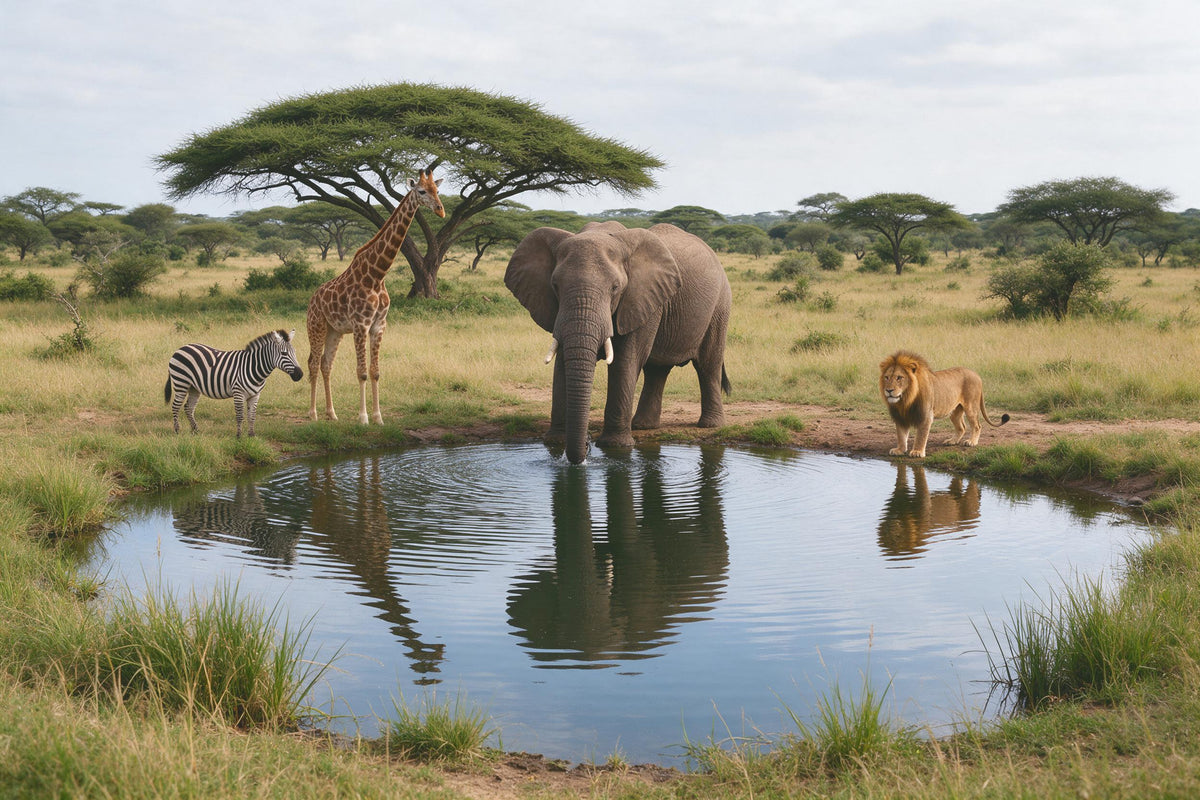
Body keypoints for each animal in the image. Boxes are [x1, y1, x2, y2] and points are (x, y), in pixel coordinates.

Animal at [165, 329, 304, 437]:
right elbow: (240, 415)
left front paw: (251, 436)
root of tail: (181, 348)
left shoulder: (255, 395)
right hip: (181, 383)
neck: (253, 367)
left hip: (194, 387)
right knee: (176, 406)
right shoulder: (238, 393)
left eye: (295, 352)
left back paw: (196, 430)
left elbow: (252, 416)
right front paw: (239, 436)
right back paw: (177, 430)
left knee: (188, 407)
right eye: (284, 353)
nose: (300, 374)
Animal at [505, 221, 732, 464]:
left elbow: (625, 360)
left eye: (615, 288)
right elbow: (562, 360)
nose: (586, 445)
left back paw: (710, 425)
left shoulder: (641, 297)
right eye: (555, 285)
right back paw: (642, 426)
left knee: (707, 364)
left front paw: (615, 446)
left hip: (720, 305)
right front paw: (555, 441)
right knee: (657, 370)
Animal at [879, 350, 1009, 458]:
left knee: (977, 425)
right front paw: (900, 450)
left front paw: (917, 452)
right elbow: (901, 435)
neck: (905, 400)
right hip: (955, 410)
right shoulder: (900, 416)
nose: (889, 390)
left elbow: (921, 436)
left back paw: (971, 442)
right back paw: (952, 441)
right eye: (886, 377)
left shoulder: (925, 416)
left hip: (971, 407)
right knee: (962, 427)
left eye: (899, 377)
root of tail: (976, 374)